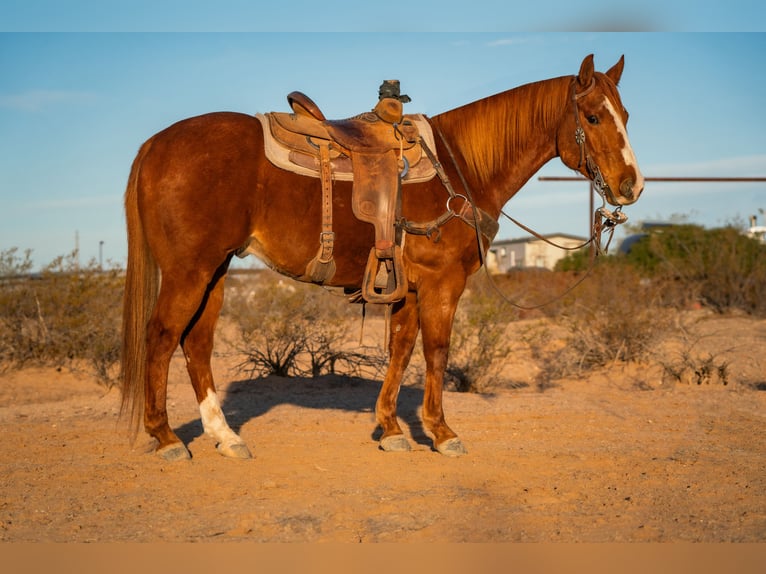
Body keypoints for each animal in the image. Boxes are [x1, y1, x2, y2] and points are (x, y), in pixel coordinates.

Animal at [121, 55, 640, 464]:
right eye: (593, 117)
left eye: (627, 114)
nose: (631, 185)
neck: (460, 168)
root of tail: (155, 144)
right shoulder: (442, 282)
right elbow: (436, 351)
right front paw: (442, 432)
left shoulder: (406, 285)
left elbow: (401, 349)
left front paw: (391, 429)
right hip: (190, 271)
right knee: (162, 336)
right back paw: (167, 438)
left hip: (216, 270)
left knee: (197, 343)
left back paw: (225, 437)